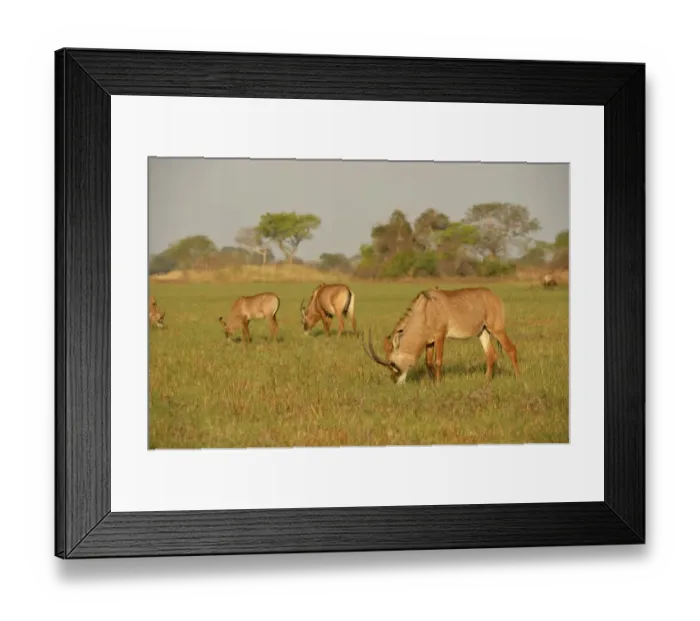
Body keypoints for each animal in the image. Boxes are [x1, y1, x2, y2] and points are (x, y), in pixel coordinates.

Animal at [363, 287, 519, 385]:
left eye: (393, 363)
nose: (396, 381)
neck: (425, 309)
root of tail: (494, 296)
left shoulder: (440, 336)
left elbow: (438, 361)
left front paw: (438, 383)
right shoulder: (429, 342)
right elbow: (428, 362)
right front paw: (434, 380)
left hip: (497, 328)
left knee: (511, 348)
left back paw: (518, 377)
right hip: (483, 331)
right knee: (491, 354)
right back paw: (486, 379)